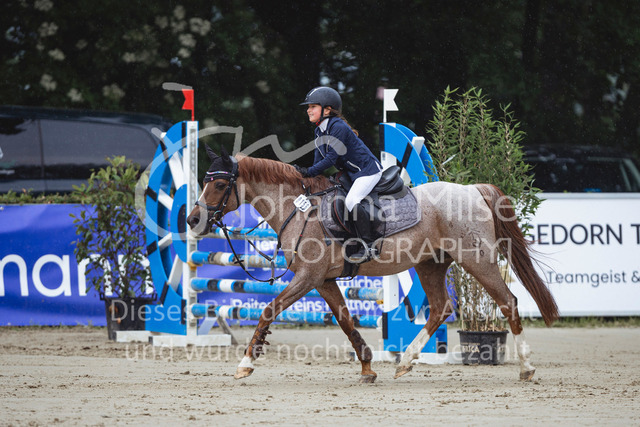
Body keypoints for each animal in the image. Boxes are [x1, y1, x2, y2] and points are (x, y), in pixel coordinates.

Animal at [186, 148, 559, 383]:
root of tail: (472, 190)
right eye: (204, 181)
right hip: (431, 264)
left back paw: (526, 368)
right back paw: (405, 362)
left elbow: (268, 311)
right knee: (440, 308)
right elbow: (346, 321)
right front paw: (367, 366)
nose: (192, 220)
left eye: (219, 184)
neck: (297, 208)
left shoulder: (307, 277)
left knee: (507, 302)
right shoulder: (322, 281)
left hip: (477, 260)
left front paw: (245, 364)